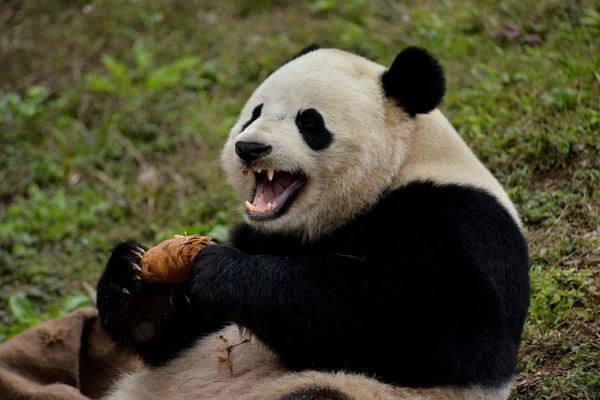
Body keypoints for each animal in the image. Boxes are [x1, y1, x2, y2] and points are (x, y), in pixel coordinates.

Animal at [97, 45, 528, 400]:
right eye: (254, 113)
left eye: (309, 122)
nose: (249, 147)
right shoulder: (263, 235)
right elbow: (174, 335)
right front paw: (131, 278)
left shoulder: (453, 222)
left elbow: (428, 332)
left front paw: (221, 271)